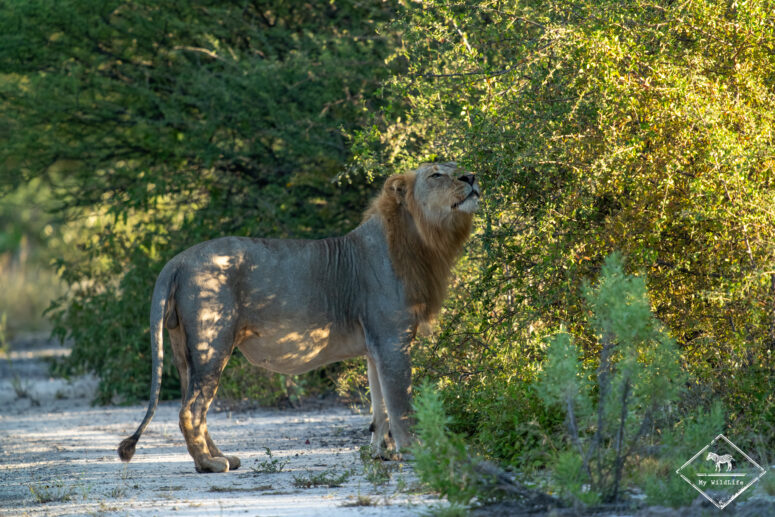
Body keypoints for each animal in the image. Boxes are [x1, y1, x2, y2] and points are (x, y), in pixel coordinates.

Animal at [117, 162, 480, 473]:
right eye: (436, 174)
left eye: (457, 167)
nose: (472, 177)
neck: (421, 240)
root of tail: (177, 260)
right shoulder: (392, 342)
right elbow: (400, 404)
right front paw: (416, 451)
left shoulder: (376, 347)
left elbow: (379, 405)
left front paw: (381, 452)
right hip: (212, 344)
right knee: (190, 410)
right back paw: (208, 464)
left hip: (184, 351)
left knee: (195, 407)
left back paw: (220, 457)